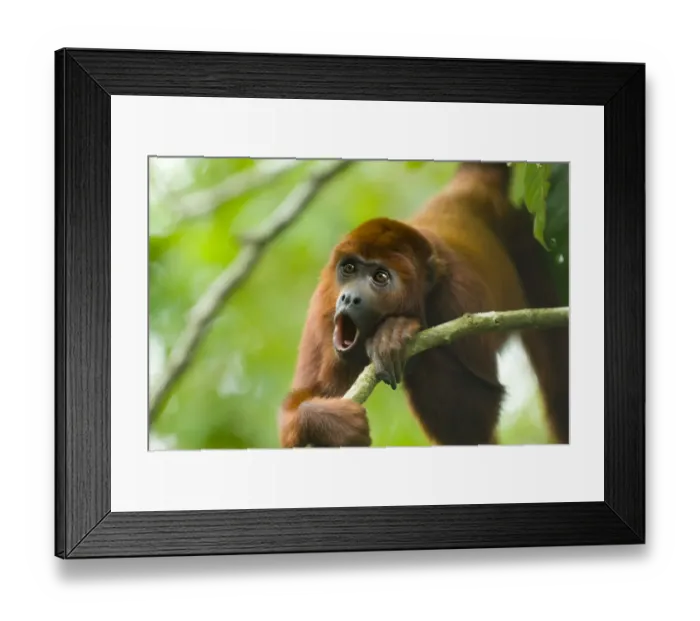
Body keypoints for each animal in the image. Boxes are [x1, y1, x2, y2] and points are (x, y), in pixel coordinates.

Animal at [279, 162, 569, 448]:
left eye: (380, 277)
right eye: (349, 269)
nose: (349, 298)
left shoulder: (457, 296)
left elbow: (475, 412)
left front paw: (394, 333)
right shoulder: (322, 307)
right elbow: (298, 404)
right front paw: (329, 421)